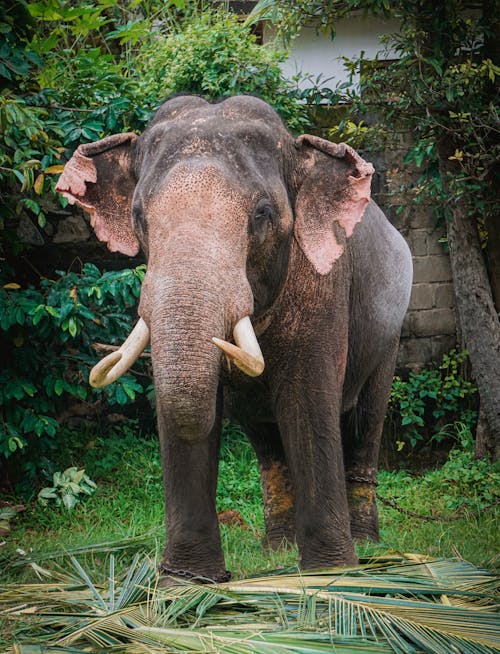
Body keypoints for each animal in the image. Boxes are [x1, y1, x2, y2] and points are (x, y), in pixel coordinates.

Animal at [56, 96, 412, 584]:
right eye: (138, 216)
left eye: (262, 214)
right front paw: (186, 585)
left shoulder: (323, 286)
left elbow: (307, 400)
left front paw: (331, 576)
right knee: (265, 438)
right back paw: (276, 550)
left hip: (388, 334)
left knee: (363, 423)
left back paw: (367, 547)